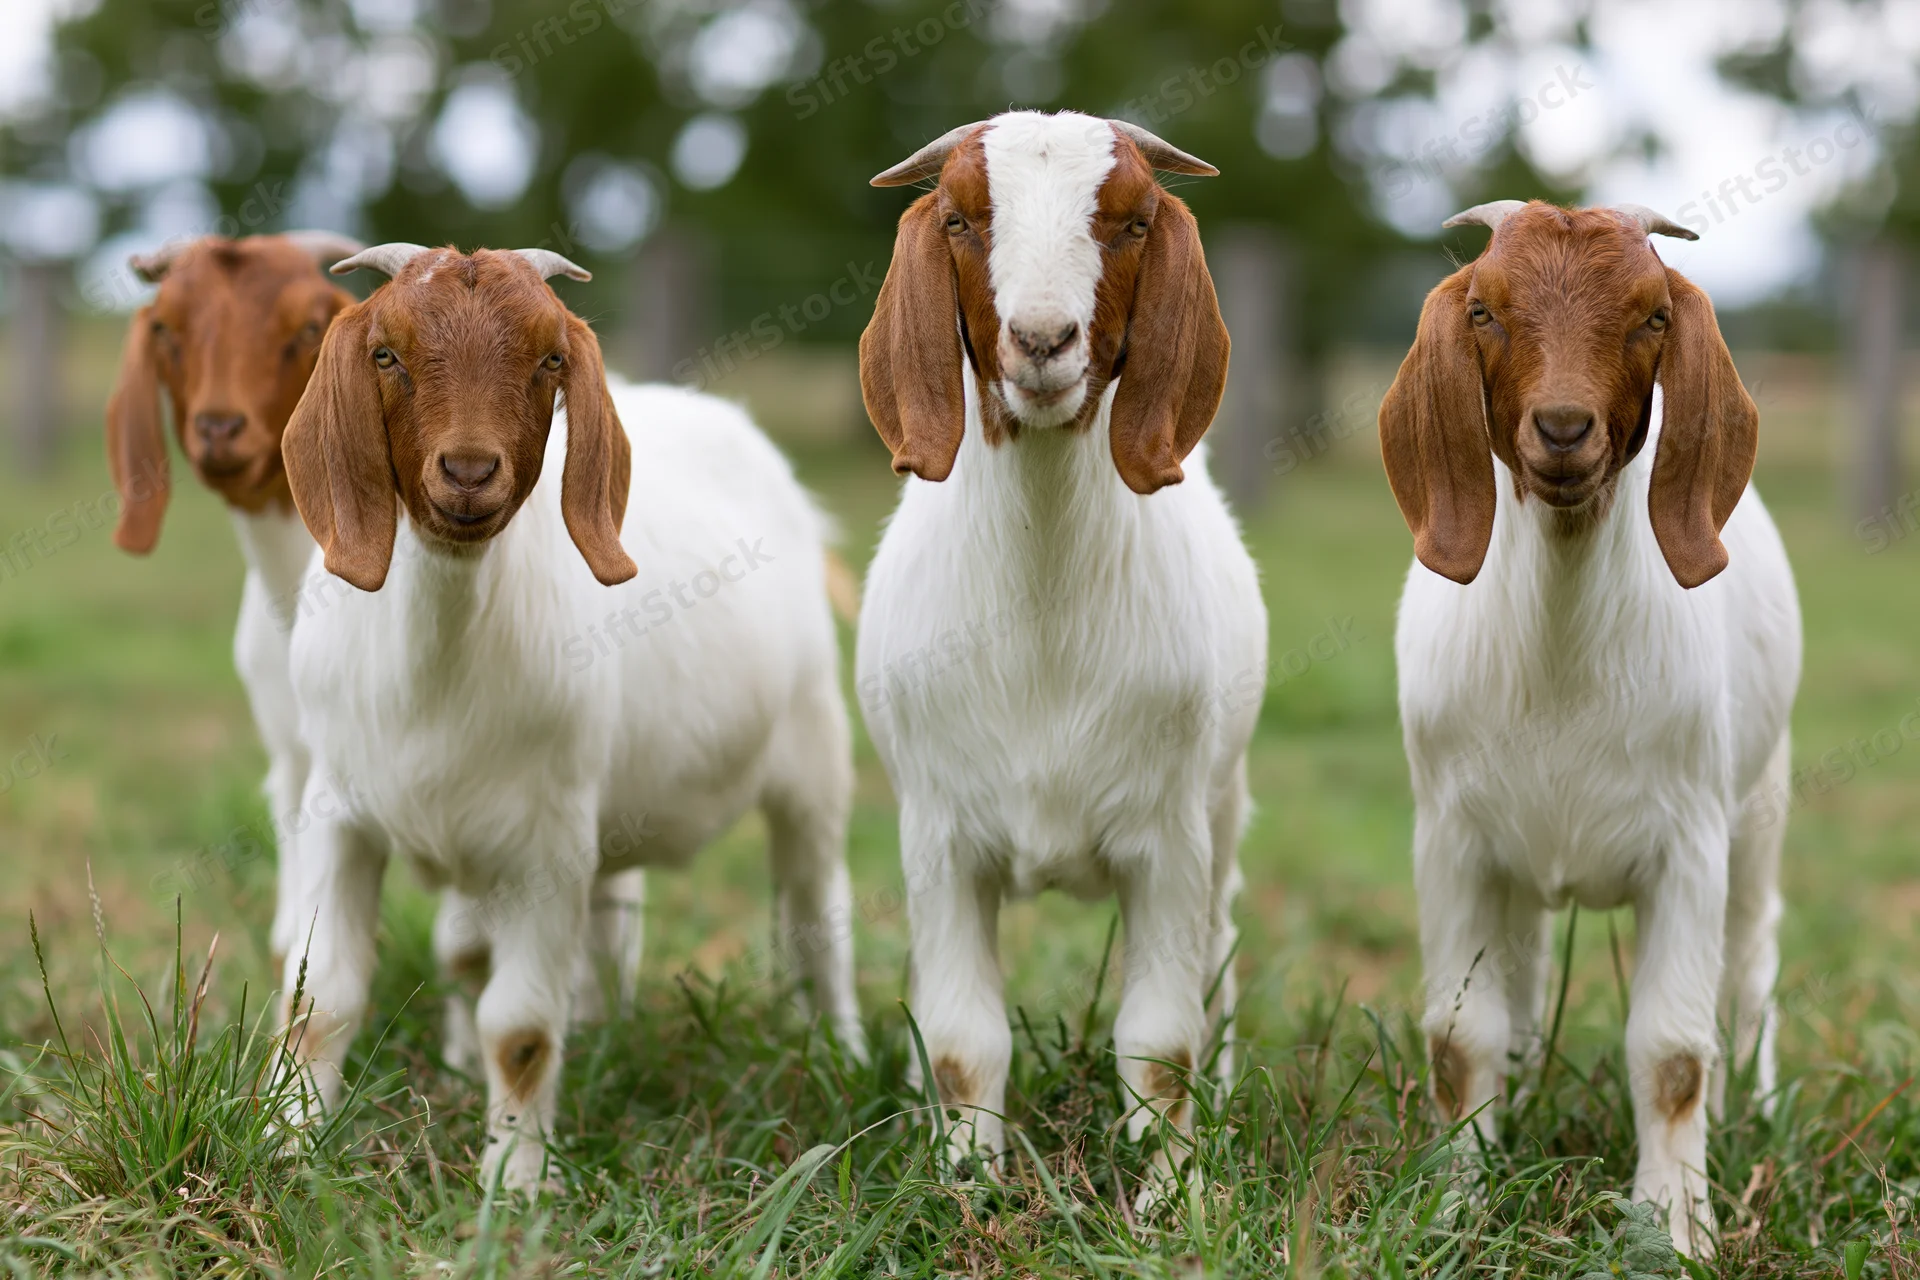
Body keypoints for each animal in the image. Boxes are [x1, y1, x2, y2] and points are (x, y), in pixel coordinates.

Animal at [277, 244, 862, 1191]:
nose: (468, 473)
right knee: (607, 919)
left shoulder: (543, 845)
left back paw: (843, 1052)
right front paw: (287, 1142)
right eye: (386, 354)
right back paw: (601, 1032)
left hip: (812, 757)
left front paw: (513, 1184)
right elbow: (321, 997)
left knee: (818, 913)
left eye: (549, 358)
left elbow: (516, 1027)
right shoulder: (340, 812)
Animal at [855, 112, 1267, 1199]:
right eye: (961, 218)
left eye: (1132, 222)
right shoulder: (940, 837)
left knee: (1222, 953)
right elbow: (963, 1037)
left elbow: (1160, 1042)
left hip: (1223, 804)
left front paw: (1171, 1194)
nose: (1042, 340)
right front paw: (966, 1183)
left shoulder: (1168, 838)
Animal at [1382, 200, 1801, 1258]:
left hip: (1759, 808)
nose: (1564, 428)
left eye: (1652, 314)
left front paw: (1677, 1228)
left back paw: (1756, 1114)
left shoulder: (1690, 844)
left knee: (1750, 963)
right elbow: (1461, 1039)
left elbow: (1673, 1052)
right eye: (1484, 310)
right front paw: (1456, 1203)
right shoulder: (1451, 843)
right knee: (1527, 977)